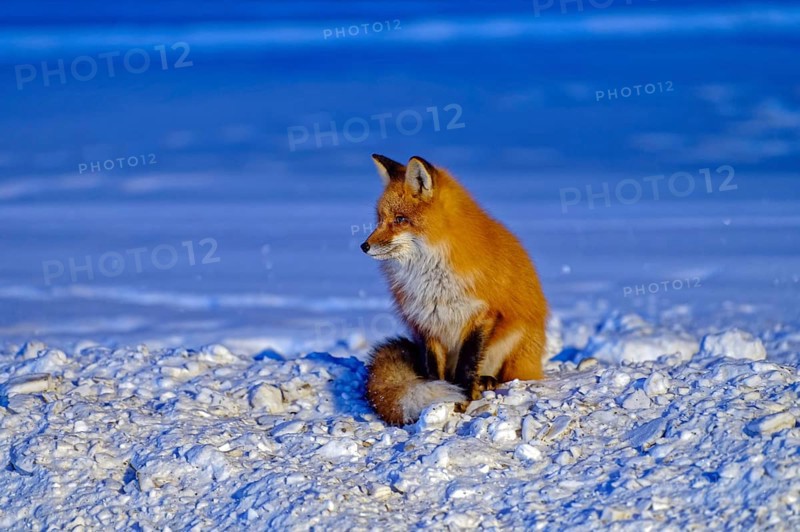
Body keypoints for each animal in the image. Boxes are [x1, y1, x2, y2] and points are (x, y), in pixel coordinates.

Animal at [361, 154, 548, 425]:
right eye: (380, 219)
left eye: (400, 219)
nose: (364, 246)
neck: (433, 274)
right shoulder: (427, 322)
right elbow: (433, 372)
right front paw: (441, 400)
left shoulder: (481, 315)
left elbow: (467, 364)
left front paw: (464, 398)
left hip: (516, 339)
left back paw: (487, 381)